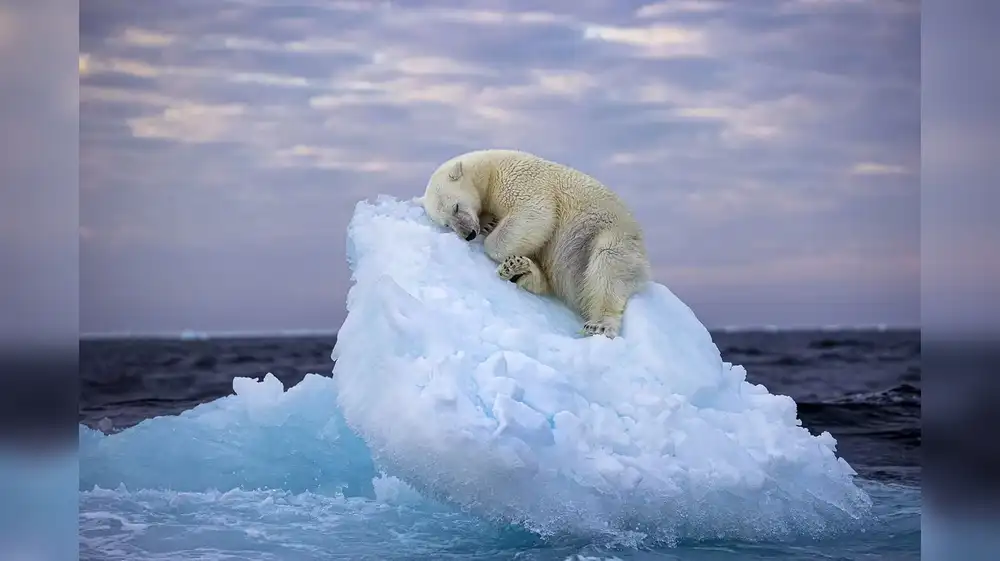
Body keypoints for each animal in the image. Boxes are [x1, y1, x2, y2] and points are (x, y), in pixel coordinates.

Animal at [420, 149, 651, 339]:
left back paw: (600, 324)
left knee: (608, 266)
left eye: (456, 207)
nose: (468, 234)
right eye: (446, 224)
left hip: (610, 235)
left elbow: (535, 214)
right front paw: (488, 224)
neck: (489, 168)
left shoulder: (519, 180)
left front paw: (491, 234)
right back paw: (519, 269)